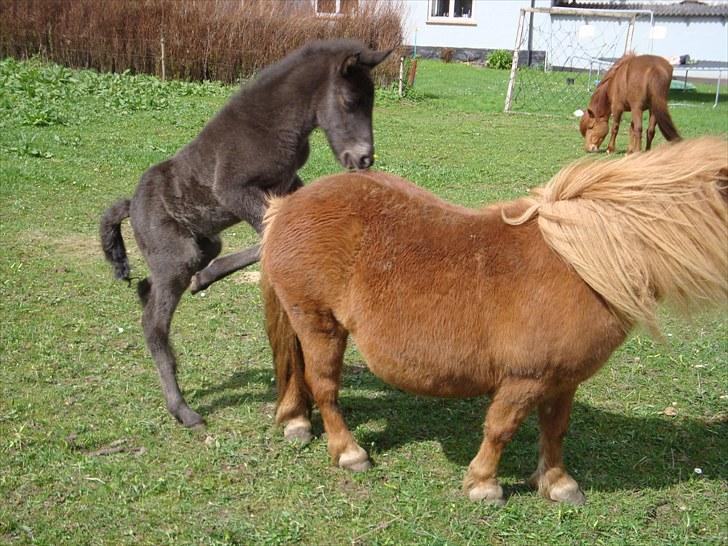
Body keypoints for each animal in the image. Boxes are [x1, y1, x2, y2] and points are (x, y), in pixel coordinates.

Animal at [102, 40, 392, 428]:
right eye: (349, 101)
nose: (363, 159)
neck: (270, 125)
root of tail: (131, 204)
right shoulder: (232, 191)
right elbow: (271, 237)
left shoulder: (288, 185)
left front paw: (206, 279)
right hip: (178, 257)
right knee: (153, 324)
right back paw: (183, 409)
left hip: (205, 244)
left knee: (151, 287)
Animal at [262, 138, 728, 504]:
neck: (582, 263)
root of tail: (287, 205)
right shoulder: (525, 379)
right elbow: (501, 428)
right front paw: (484, 485)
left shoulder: (562, 380)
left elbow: (555, 429)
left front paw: (557, 484)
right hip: (319, 323)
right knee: (324, 385)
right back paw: (349, 452)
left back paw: (298, 422)